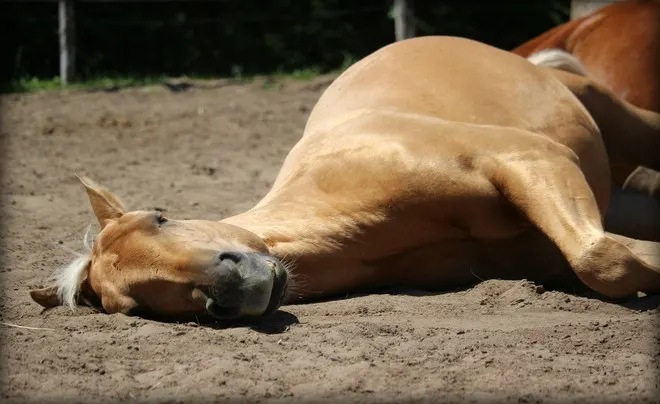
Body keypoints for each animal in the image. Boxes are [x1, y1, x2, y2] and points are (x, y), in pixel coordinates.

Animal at [28, 37, 660, 322]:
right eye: (131, 305)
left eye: (161, 216)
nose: (231, 286)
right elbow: (608, 258)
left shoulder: (530, 157)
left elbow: (602, 258)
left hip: (613, 116)